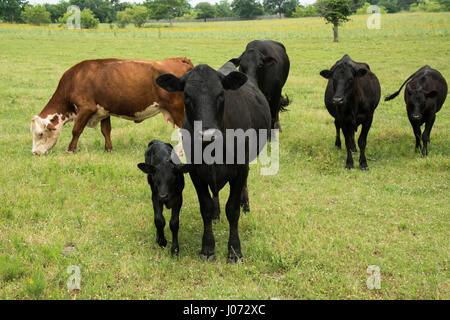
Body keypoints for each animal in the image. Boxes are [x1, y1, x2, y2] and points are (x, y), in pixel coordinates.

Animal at [30, 57, 192, 155]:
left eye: (40, 134)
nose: (35, 153)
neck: (75, 79)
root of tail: (179, 60)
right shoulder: (104, 111)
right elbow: (106, 131)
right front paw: (109, 149)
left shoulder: (86, 108)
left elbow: (76, 130)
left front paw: (70, 150)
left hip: (177, 108)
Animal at [156, 62, 270, 262]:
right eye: (187, 96)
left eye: (221, 94)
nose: (207, 134)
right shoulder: (195, 172)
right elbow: (206, 207)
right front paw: (208, 247)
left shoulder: (241, 169)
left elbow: (232, 209)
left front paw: (234, 250)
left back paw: (246, 206)